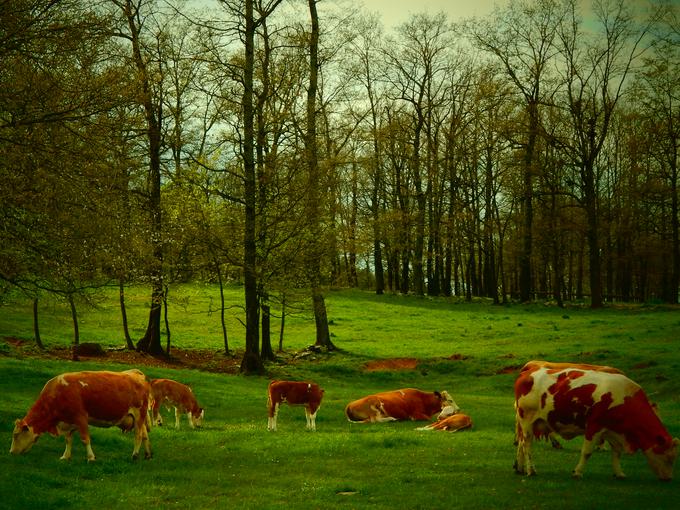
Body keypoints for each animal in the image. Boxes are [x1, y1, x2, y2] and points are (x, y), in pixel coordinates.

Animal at [9, 370, 152, 462]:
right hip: (139, 418)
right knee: (145, 435)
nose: (11, 452)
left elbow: (85, 439)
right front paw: (65, 456)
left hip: (139, 415)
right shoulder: (68, 421)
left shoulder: (81, 417)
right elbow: (68, 440)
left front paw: (91, 457)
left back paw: (135, 455)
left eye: (16, 435)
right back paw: (147, 455)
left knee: (138, 435)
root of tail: (136, 374)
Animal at [512, 364, 676, 480]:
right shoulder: (594, 425)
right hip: (527, 422)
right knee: (527, 445)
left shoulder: (613, 430)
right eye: (669, 457)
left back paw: (520, 467)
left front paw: (619, 473)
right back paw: (531, 470)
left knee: (521, 443)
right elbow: (587, 452)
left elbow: (617, 452)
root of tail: (527, 372)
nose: (668, 478)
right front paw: (577, 472)